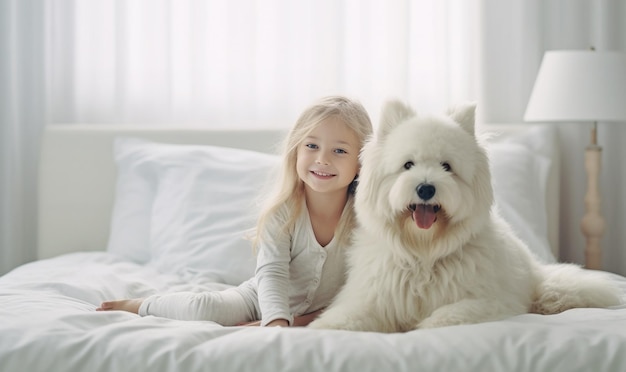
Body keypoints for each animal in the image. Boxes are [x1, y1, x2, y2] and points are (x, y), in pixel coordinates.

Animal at [308, 99, 620, 332]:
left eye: (447, 167)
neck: (424, 253)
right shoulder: (373, 298)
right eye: (407, 165)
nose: (425, 188)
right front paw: (319, 328)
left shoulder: (487, 302)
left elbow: (445, 317)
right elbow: (345, 317)